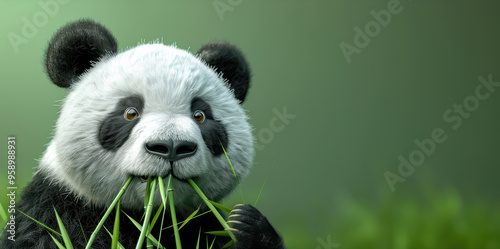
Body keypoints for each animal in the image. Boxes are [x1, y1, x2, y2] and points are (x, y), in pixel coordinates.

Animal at [0, 20, 286, 249]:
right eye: (130, 112)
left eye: (200, 115)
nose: (171, 147)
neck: (152, 217)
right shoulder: (55, 208)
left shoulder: (201, 223)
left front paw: (247, 224)